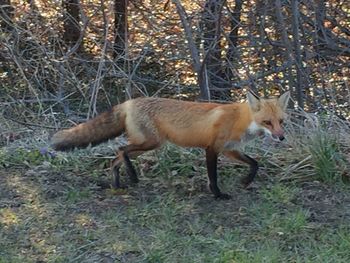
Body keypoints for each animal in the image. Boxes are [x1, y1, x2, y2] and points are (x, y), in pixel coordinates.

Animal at [51, 92, 290, 199]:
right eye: (267, 122)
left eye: (281, 121)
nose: (281, 138)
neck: (240, 120)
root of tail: (129, 101)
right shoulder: (212, 148)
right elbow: (213, 177)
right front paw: (218, 194)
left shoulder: (230, 149)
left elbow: (255, 163)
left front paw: (247, 181)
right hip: (151, 143)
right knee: (121, 150)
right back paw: (133, 176)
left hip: (147, 145)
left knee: (114, 159)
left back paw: (118, 185)